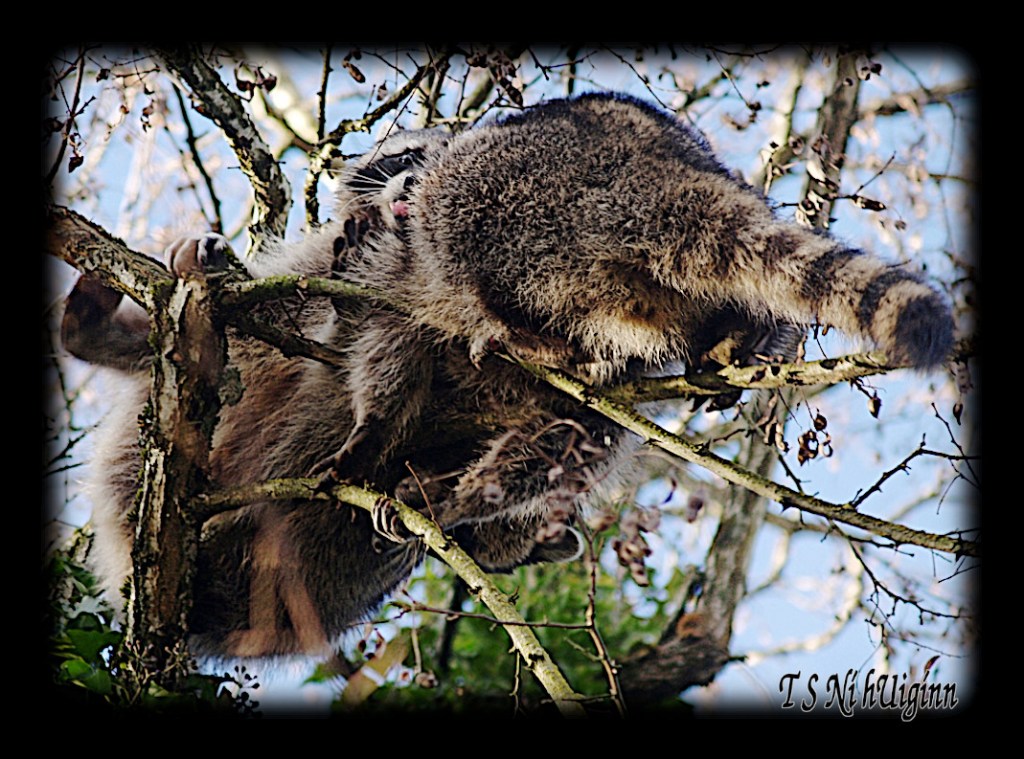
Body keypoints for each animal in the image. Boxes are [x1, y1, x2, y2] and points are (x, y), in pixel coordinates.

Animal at [61, 92, 954, 658]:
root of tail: (651, 168)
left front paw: (393, 443)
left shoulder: (393, 260)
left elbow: (387, 339)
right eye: (391, 156)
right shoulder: (363, 255)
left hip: (516, 199)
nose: (395, 181)